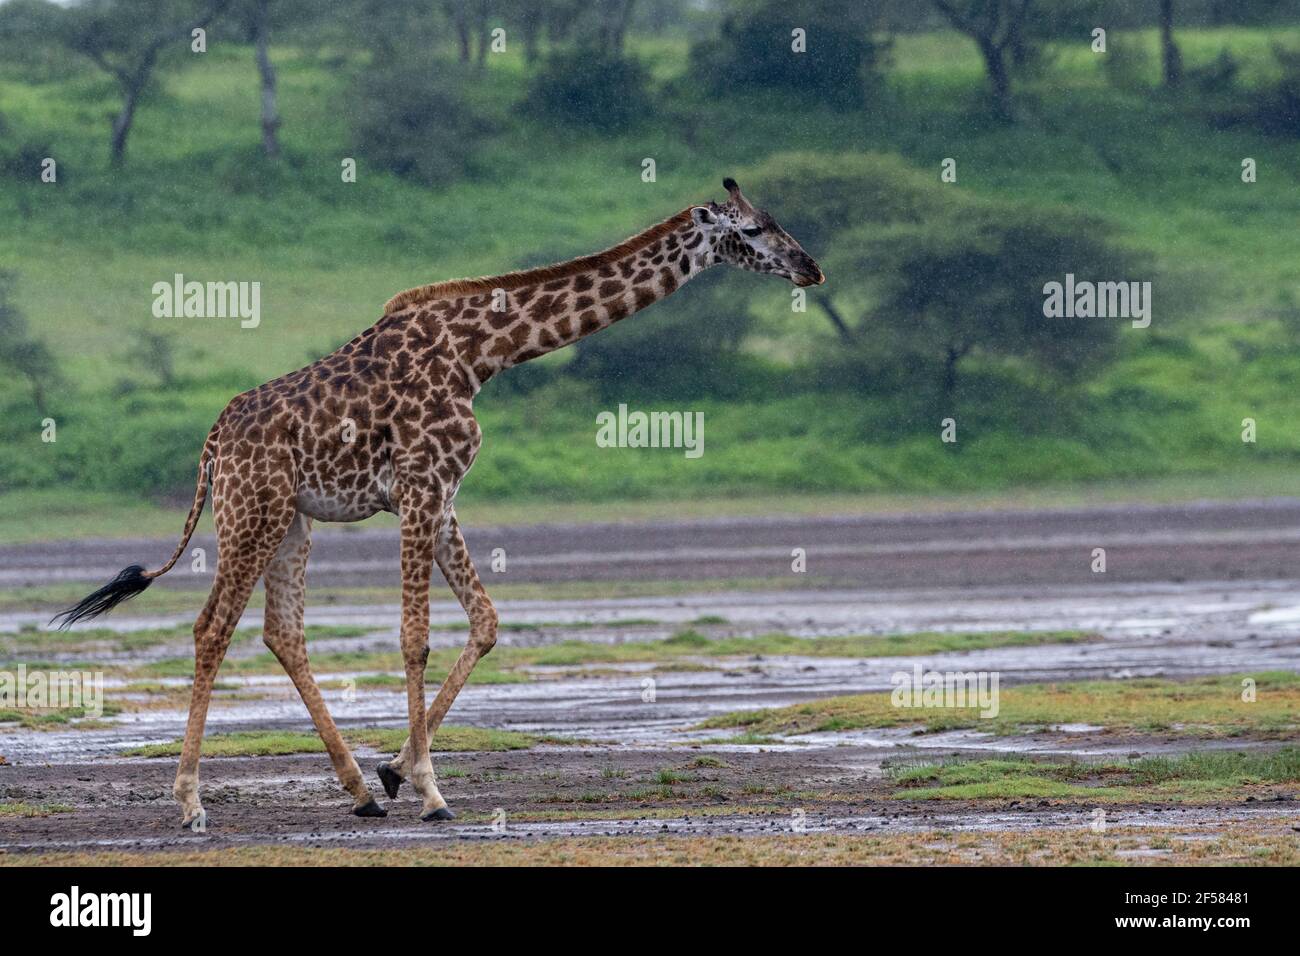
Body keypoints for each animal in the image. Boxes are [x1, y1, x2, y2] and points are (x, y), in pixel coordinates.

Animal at [53, 178, 824, 826]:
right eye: (753, 229)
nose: (810, 268)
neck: (482, 352)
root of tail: (213, 442)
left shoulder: (443, 495)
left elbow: (485, 622)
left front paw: (394, 771)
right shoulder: (422, 486)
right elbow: (414, 636)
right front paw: (429, 791)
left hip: (292, 520)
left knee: (283, 632)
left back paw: (358, 792)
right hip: (252, 511)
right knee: (212, 628)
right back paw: (190, 803)